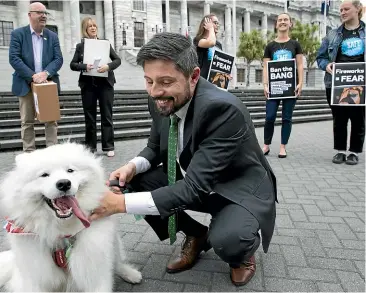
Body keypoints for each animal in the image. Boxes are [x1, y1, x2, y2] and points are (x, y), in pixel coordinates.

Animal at [0, 141, 142, 290]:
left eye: (70, 170)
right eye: (44, 175)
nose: (64, 183)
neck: (62, 233)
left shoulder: (94, 268)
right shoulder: (38, 277)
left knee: (117, 262)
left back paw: (131, 274)